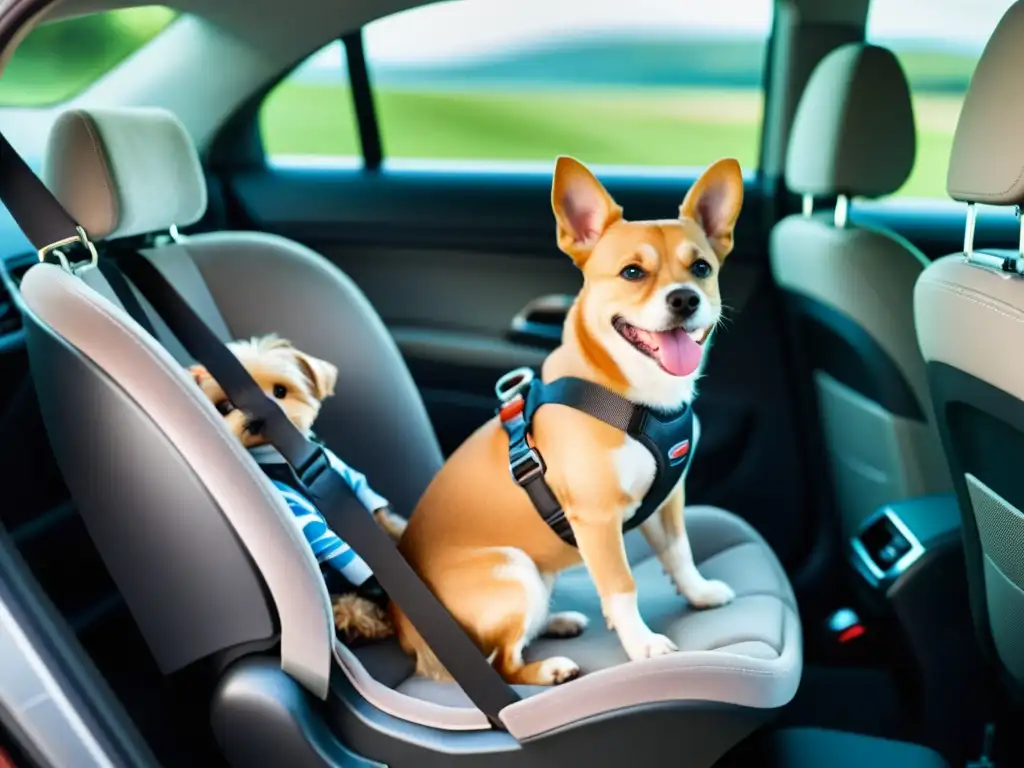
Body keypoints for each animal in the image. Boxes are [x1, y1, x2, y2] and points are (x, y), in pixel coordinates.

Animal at [191, 333, 403, 638]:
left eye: (280, 391)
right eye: (225, 407)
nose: (258, 417)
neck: (285, 458)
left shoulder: (349, 478)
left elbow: (376, 510)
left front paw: (396, 530)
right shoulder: (302, 514)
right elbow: (338, 546)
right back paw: (364, 616)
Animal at [393, 156, 745, 684]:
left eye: (701, 267)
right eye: (632, 272)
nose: (684, 298)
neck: (639, 398)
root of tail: (407, 628)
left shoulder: (667, 499)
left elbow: (679, 552)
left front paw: (698, 593)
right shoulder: (597, 520)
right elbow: (621, 585)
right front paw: (642, 645)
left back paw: (555, 621)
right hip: (514, 569)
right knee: (503, 663)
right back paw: (549, 668)